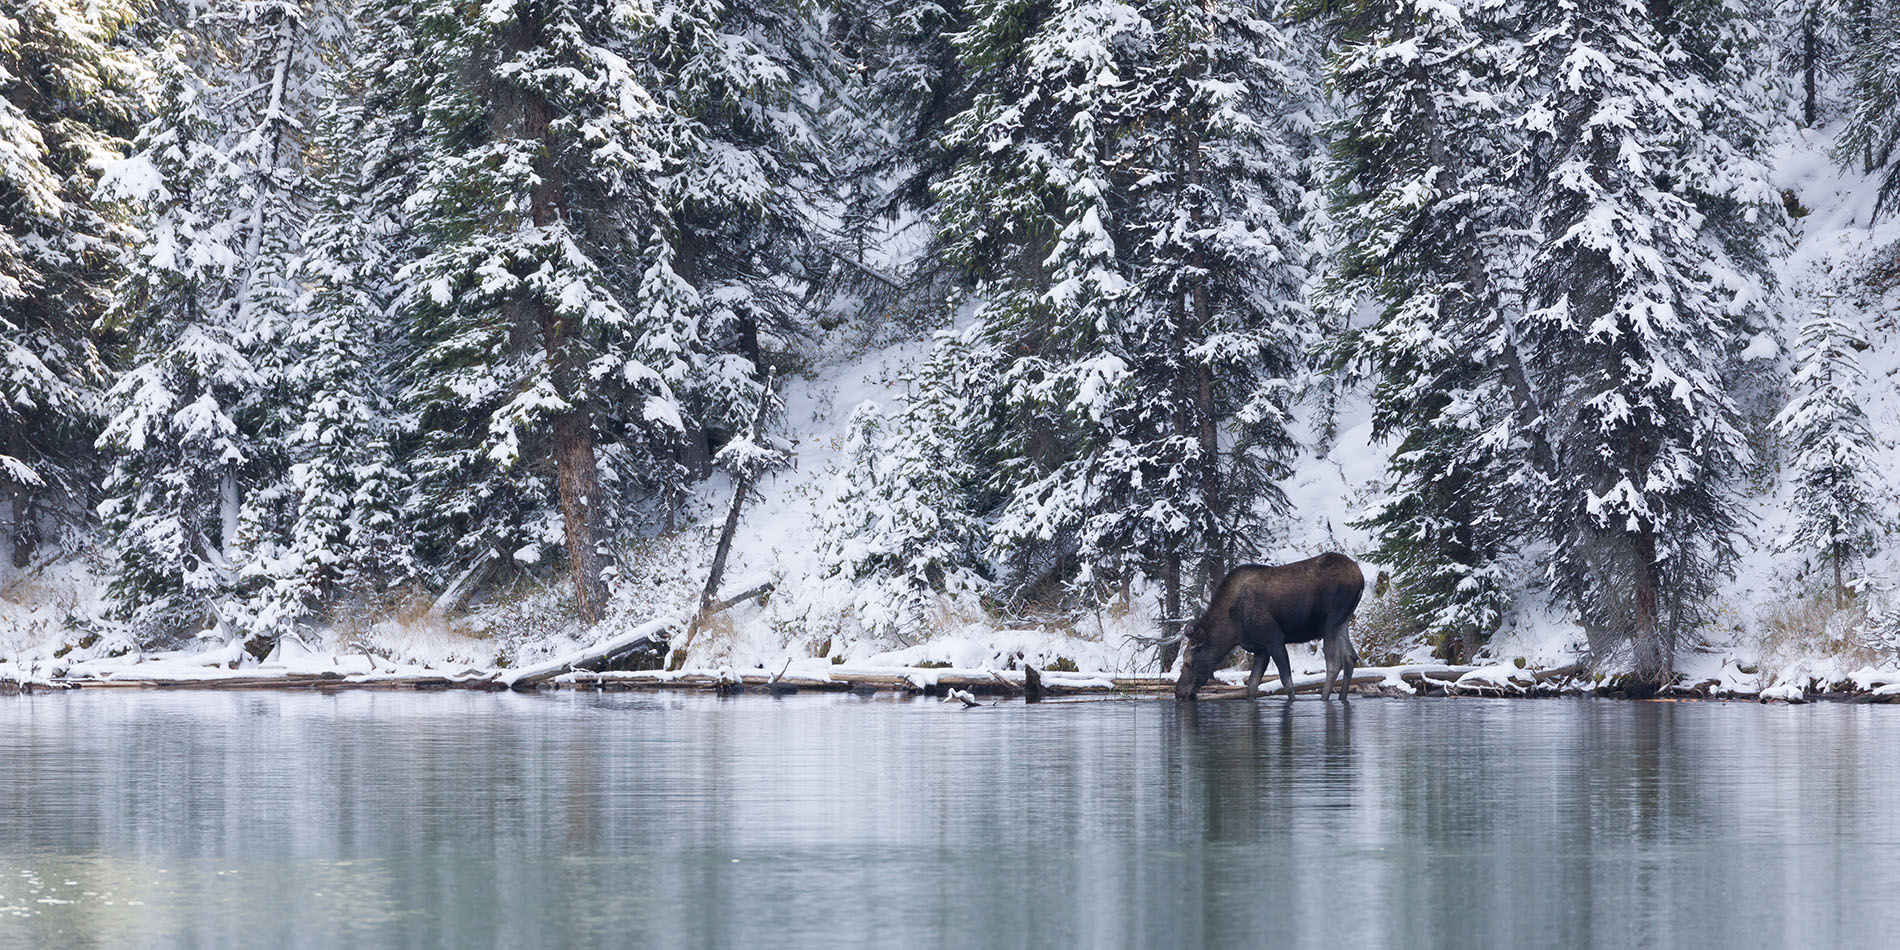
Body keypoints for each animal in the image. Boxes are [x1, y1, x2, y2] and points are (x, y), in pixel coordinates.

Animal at [1170, 554, 1368, 703]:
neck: (1231, 629)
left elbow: (1286, 681)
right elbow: (1251, 686)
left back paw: (1324, 698)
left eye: (1188, 662)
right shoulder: (1260, 649)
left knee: (1334, 663)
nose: (1178, 692)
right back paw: (1342, 697)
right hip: (1343, 622)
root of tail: (1361, 577)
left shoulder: (1274, 639)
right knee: (1350, 657)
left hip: (1330, 623)